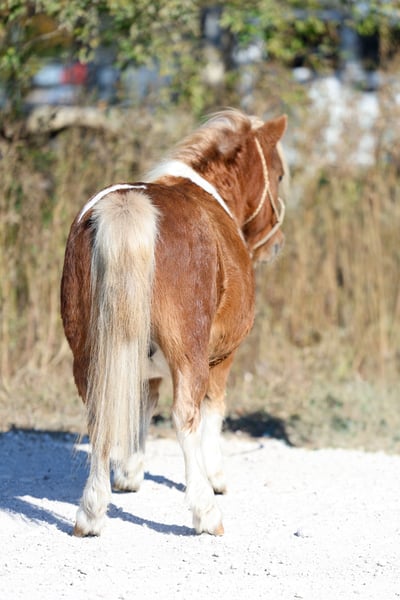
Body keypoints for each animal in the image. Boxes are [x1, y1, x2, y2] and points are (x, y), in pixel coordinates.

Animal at [60, 109, 287, 537]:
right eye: (280, 175)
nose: (276, 245)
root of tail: (129, 204)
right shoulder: (221, 358)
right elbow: (213, 411)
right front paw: (215, 478)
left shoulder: (141, 362)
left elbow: (141, 405)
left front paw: (130, 473)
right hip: (189, 355)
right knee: (186, 415)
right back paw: (205, 513)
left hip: (89, 352)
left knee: (100, 413)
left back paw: (91, 512)